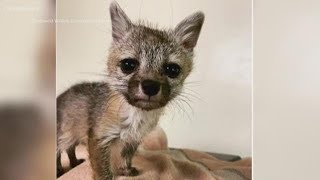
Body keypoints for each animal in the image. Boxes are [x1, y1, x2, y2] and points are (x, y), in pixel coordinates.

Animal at [56, 1, 204, 179]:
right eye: (128, 65)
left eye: (172, 69)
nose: (150, 86)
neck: (136, 117)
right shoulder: (99, 138)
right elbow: (103, 170)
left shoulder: (133, 139)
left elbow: (126, 156)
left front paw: (125, 170)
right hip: (62, 137)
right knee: (59, 152)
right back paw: (59, 169)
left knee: (70, 149)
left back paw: (74, 162)